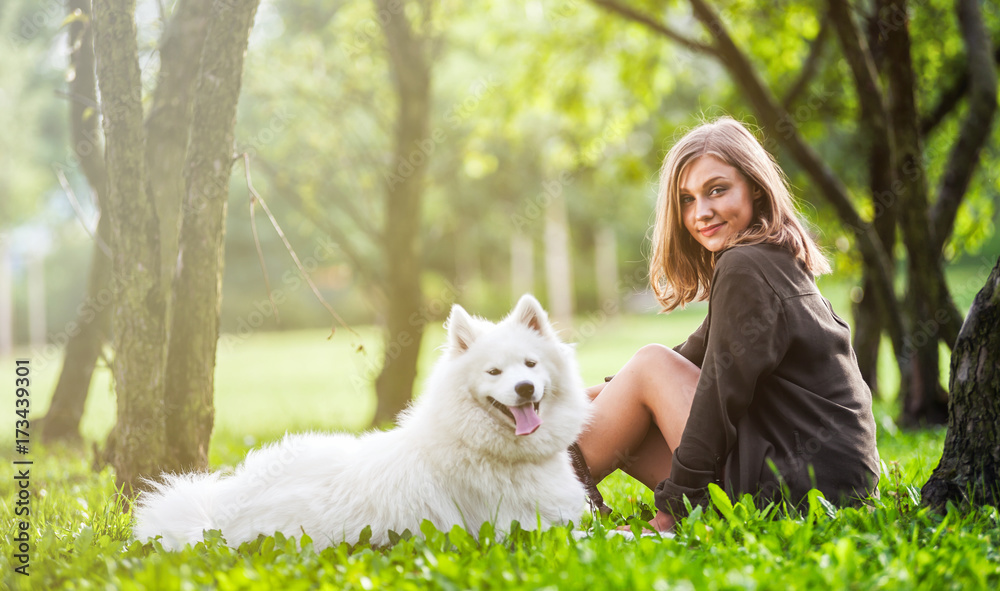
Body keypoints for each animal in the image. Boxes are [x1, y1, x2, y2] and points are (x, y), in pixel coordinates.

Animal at [132, 296, 584, 552]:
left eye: (530, 364)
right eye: (493, 372)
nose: (525, 388)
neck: (481, 448)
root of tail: (219, 513)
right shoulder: (520, 530)